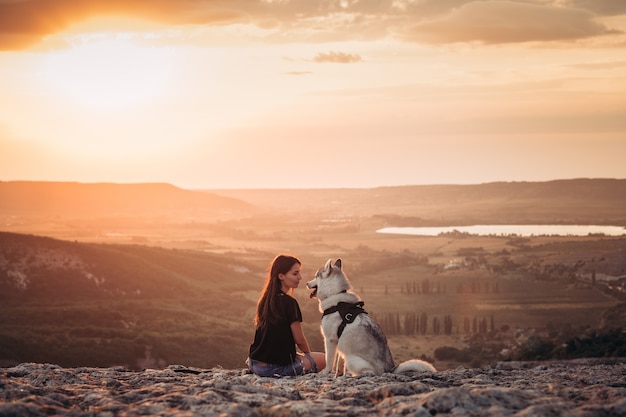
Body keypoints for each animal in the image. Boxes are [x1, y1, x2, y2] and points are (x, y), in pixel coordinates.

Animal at [306, 258, 434, 376]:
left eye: (316, 276)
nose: (306, 283)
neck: (335, 295)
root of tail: (389, 370)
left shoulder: (330, 340)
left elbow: (329, 360)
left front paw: (325, 372)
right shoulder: (340, 344)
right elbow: (339, 364)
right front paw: (338, 375)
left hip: (351, 359)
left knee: (369, 371)